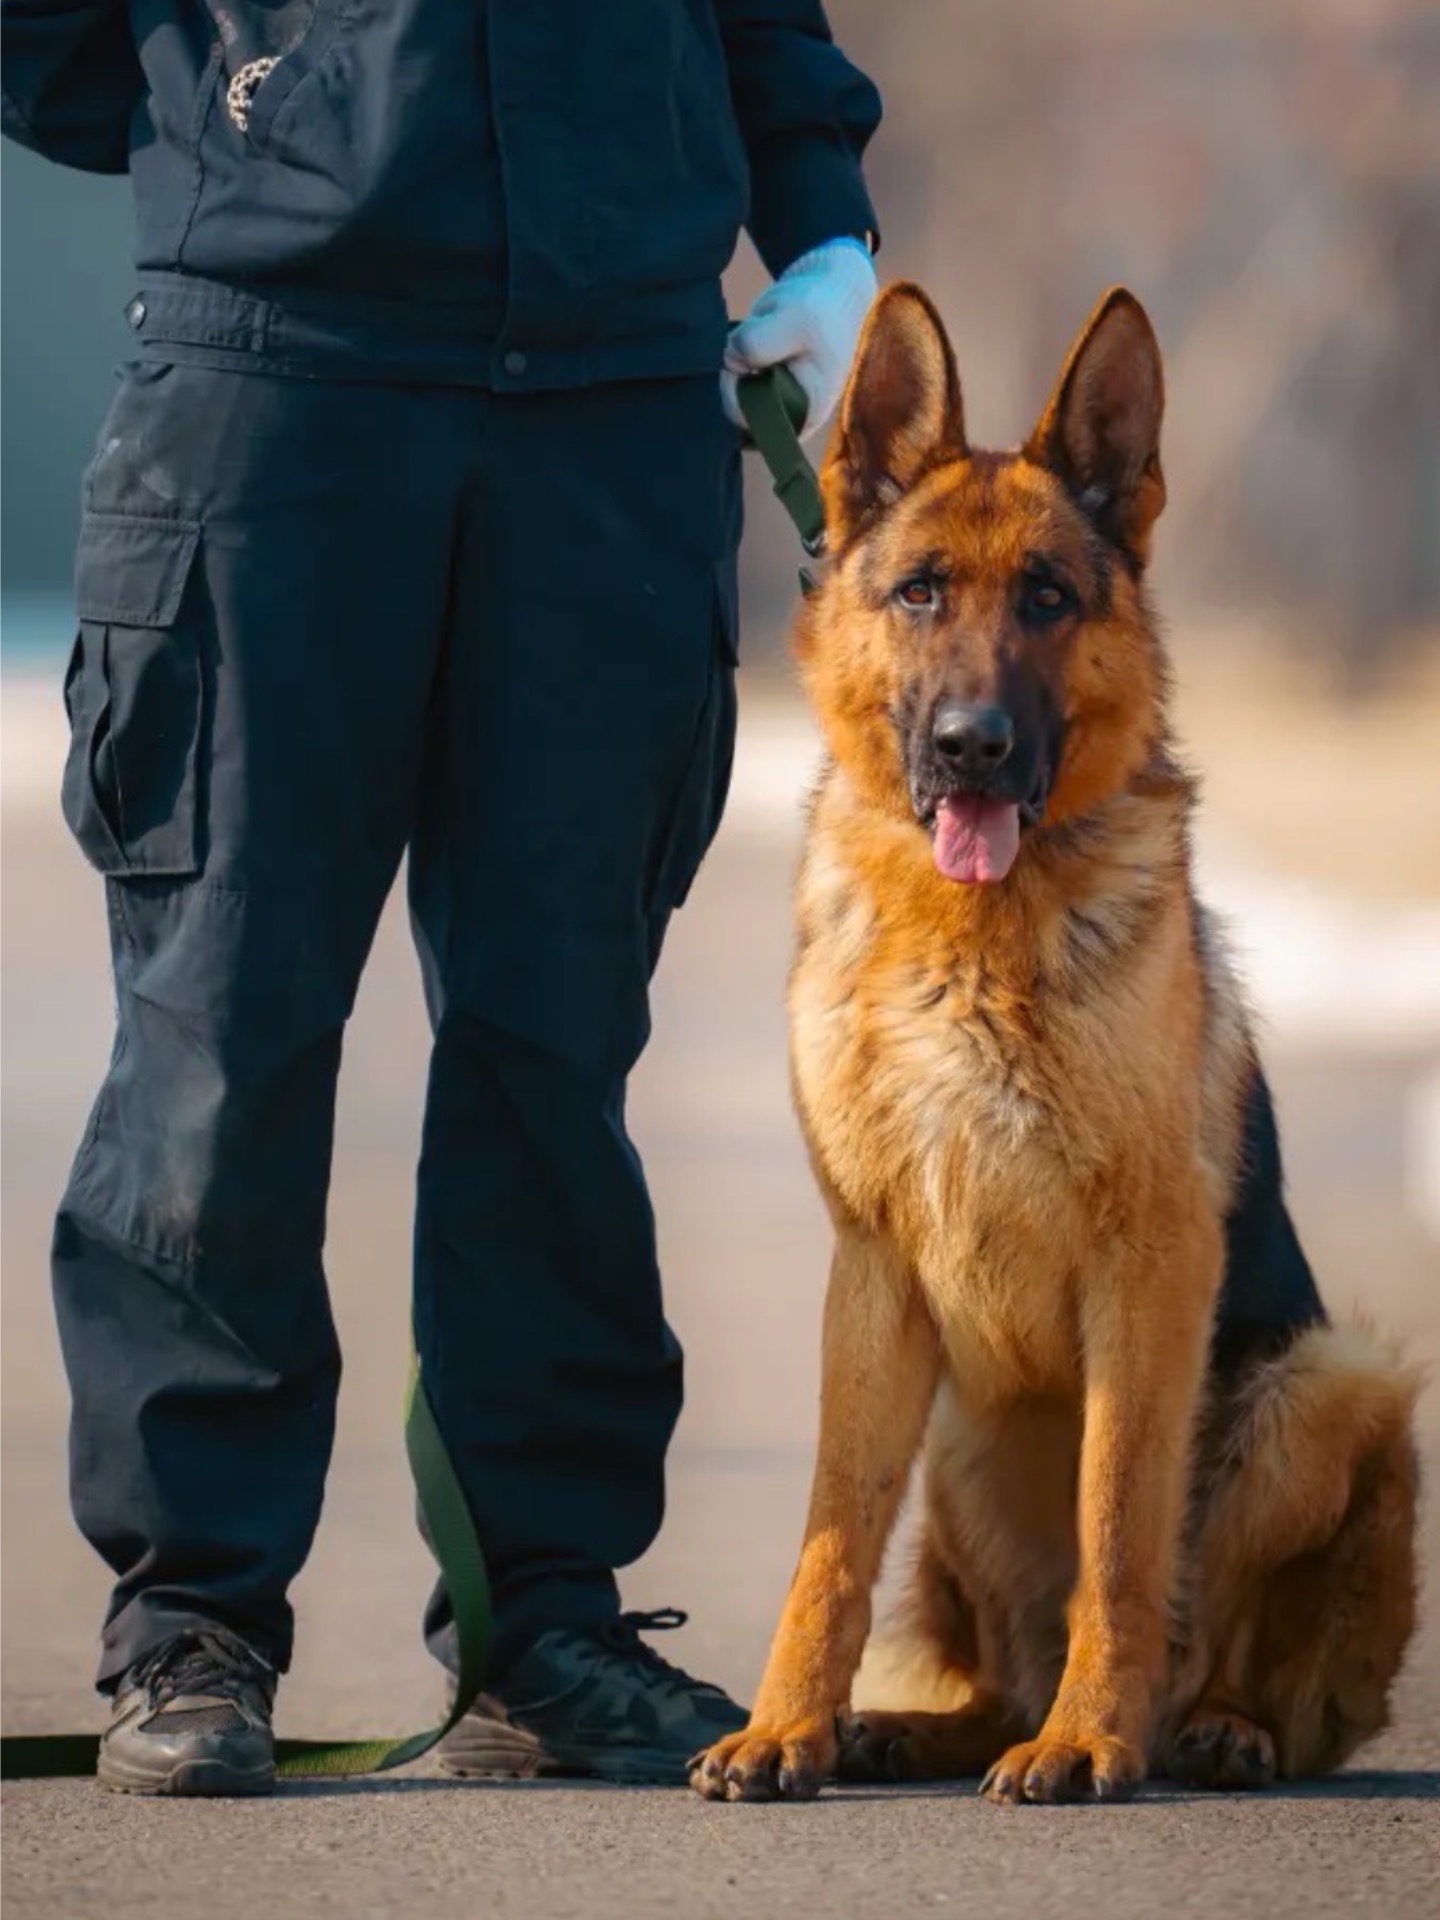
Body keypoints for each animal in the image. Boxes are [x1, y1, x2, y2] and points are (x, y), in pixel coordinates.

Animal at [695, 280, 1428, 1797]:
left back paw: (1198, 1726)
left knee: (1262, 1670)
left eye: (1047, 598)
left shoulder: (1150, 1269)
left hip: (1330, 1383)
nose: (972, 746)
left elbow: (1118, 1523)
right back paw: (910, 1727)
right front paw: (787, 1723)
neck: (969, 938)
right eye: (920, 591)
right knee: (989, 1671)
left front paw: (1091, 1741)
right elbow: (830, 1539)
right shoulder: (871, 1274)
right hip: (962, 1436)